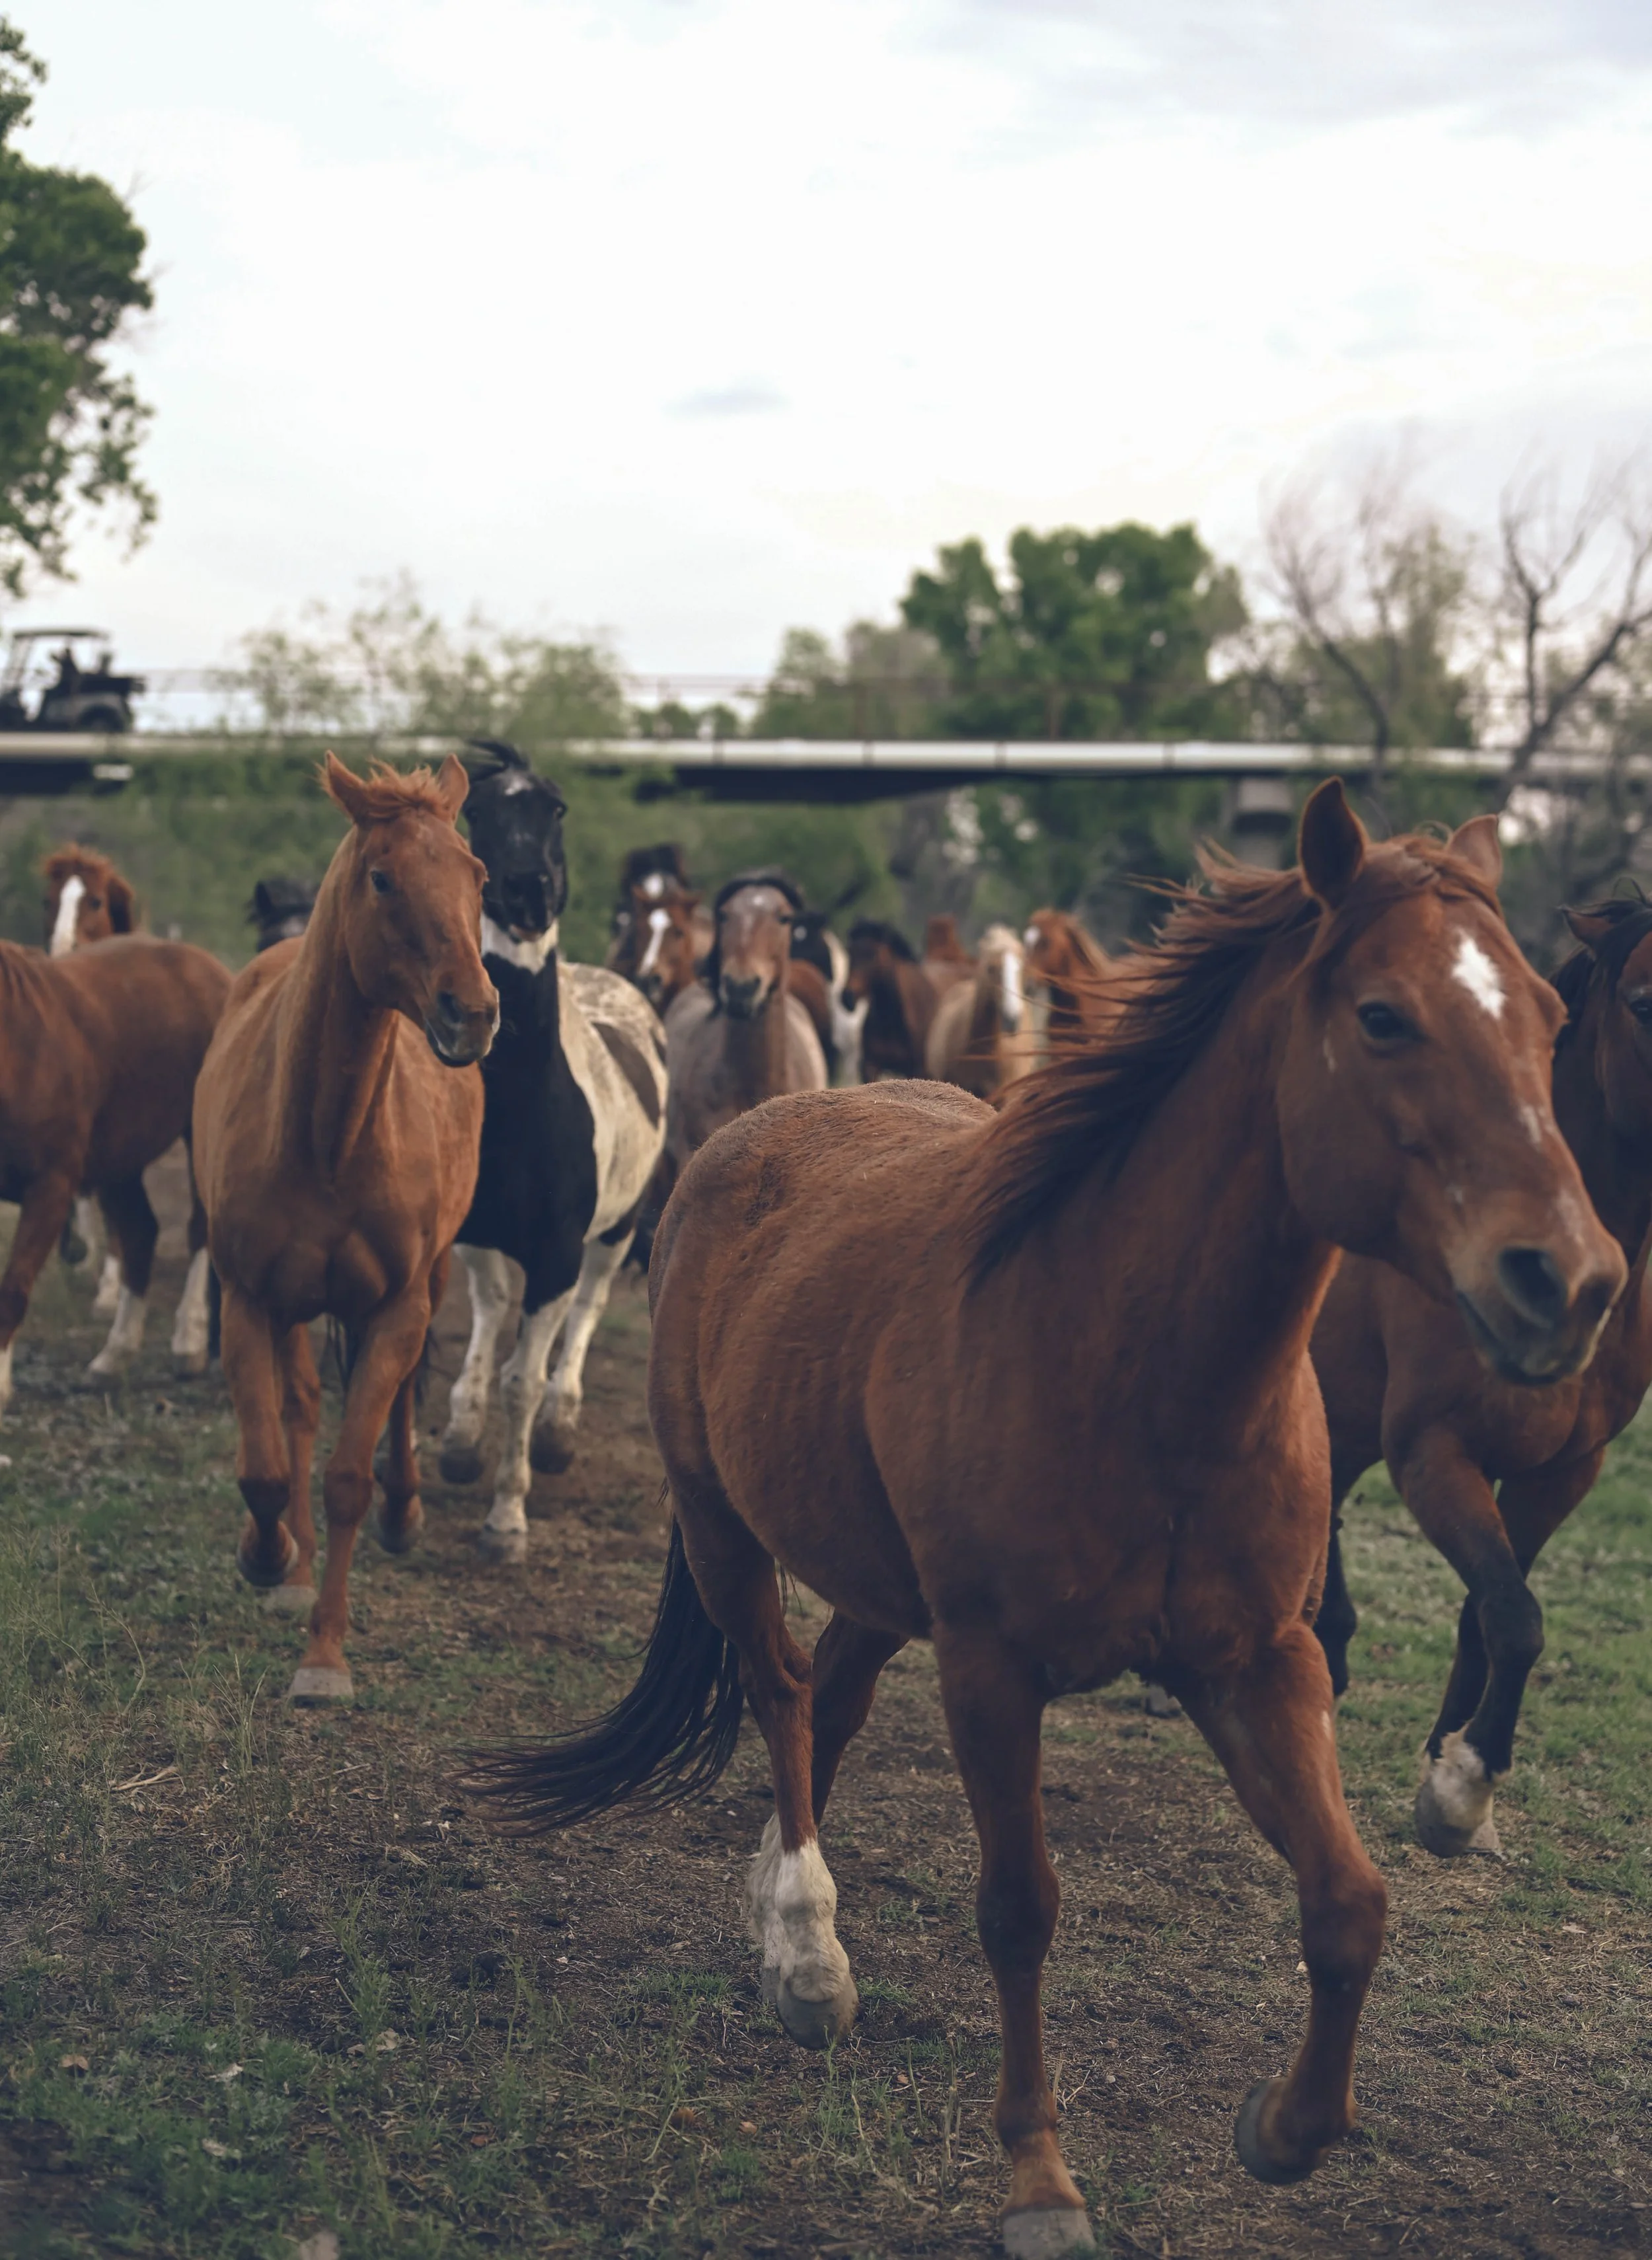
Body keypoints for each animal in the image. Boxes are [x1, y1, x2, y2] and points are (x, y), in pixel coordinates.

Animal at [0, 935, 228, 1409]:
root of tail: (209, 968)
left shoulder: (51, 1186)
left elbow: (12, 1289)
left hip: (198, 1136)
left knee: (200, 1229)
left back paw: (190, 1344)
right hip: (117, 1161)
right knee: (141, 1233)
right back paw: (114, 1356)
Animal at [194, 754, 497, 1704]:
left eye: (477, 875)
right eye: (383, 878)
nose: (473, 1011)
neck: (328, 1135)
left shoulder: (396, 1305)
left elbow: (349, 1478)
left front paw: (325, 1657)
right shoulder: (248, 1299)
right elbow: (267, 1464)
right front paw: (269, 1561)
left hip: (429, 1280)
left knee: (393, 1406)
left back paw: (405, 1514)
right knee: (296, 1410)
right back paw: (288, 1568)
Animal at [433, 742, 668, 1561]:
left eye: (556, 807)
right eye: (477, 810)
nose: (528, 893)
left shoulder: (560, 1250)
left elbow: (525, 1384)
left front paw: (507, 1519)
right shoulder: (475, 1232)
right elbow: (486, 1323)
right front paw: (460, 1441)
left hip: (617, 1230)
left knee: (588, 1309)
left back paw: (560, 1430)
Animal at [843, 919, 937, 1079]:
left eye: (872, 953)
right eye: (849, 952)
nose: (848, 996)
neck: (889, 1021)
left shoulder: (916, 1069)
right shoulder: (870, 1066)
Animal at [1312, 889, 1652, 1859]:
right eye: (1644, 1003)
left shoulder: (1562, 1470)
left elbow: (1491, 1610)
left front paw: (1449, 1763)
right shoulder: (1434, 1452)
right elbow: (1514, 1616)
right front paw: (1465, 1789)